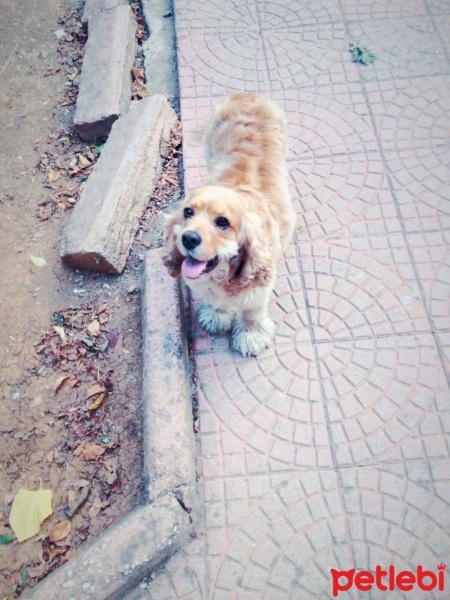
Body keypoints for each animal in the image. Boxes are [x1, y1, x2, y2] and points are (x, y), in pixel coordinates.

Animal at [162, 94, 296, 356]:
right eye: (188, 212)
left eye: (222, 222)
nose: (188, 238)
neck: (221, 276)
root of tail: (247, 94)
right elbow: (217, 302)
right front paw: (217, 315)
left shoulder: (260, 286)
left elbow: (253, 311)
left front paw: (251, 335)